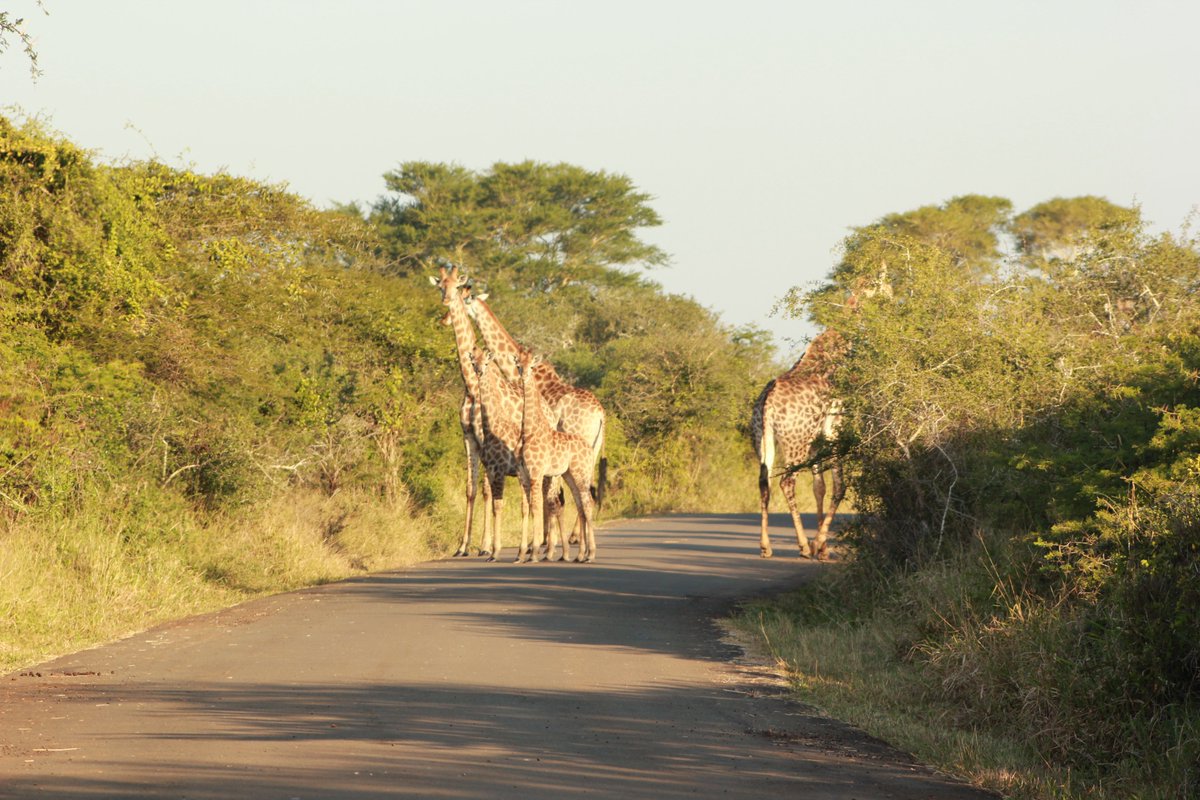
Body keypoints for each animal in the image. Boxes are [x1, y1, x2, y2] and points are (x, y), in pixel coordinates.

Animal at [514, 349, 598, 563]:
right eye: (519, 365)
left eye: (532, 366)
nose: (523, 377)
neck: (528, 431)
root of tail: (589, 449)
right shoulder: (523, 474)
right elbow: (527, 508)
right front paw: (521, 555)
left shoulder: (536, 473)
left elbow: (537, 507)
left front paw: (534, 552)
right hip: (569, 475)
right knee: (580, 504)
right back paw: (581, 555)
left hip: (581, 473)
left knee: (587, 503)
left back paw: (591, 553)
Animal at [750, 329, 847, 559]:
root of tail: (767, 402)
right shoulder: (833, 431)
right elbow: (839, 486)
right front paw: (817, 544)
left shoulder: (815, 443)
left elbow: (819, 487)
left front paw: (823, 548)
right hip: (796, 444)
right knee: (786, 482)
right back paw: (803, 545)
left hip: (763, 439)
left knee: (763, 482)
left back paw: (766, 546)